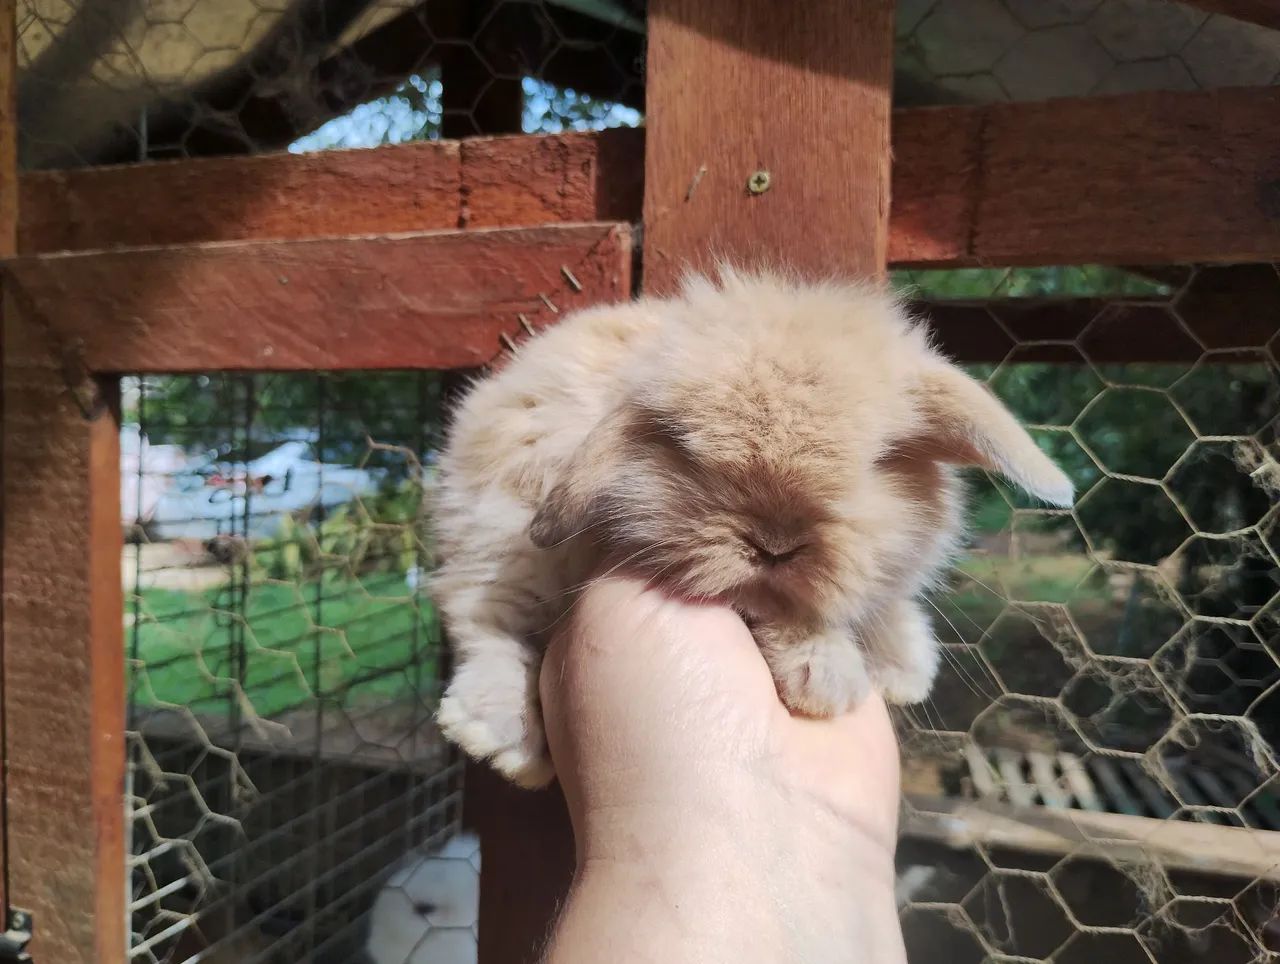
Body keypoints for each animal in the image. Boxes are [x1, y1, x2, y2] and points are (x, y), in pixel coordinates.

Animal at [431, 266, 1073, 788]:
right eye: (689, 452)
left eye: (880, 460)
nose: (776, 544)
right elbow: (771, 610)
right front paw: (827, 677)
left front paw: (902, 668)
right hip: (504, 542)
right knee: (485, 622)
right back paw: (503, 739)